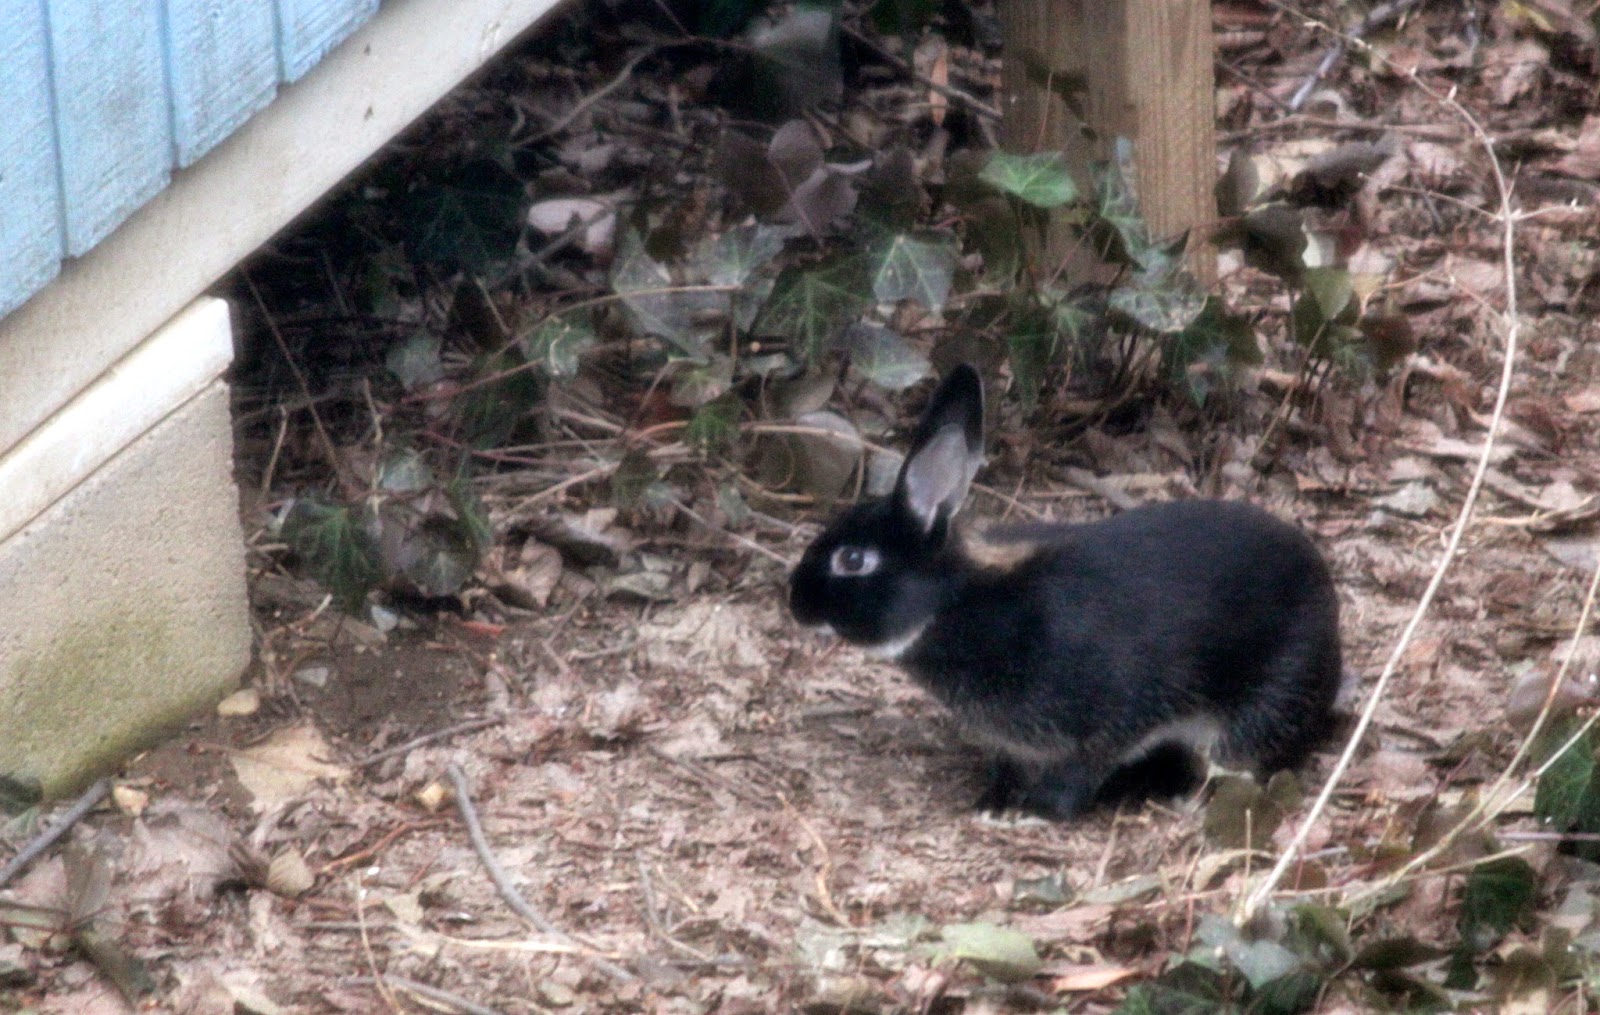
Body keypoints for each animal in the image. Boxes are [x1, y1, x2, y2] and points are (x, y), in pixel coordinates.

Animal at [788, 363, 1343, 819]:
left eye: (853, 561)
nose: (794, 603)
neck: (957, 603)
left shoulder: (1111, 716)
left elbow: (1082, 770)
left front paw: (1039, 811)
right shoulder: (1012, 743)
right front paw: (992, 805)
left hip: (1266, 703)